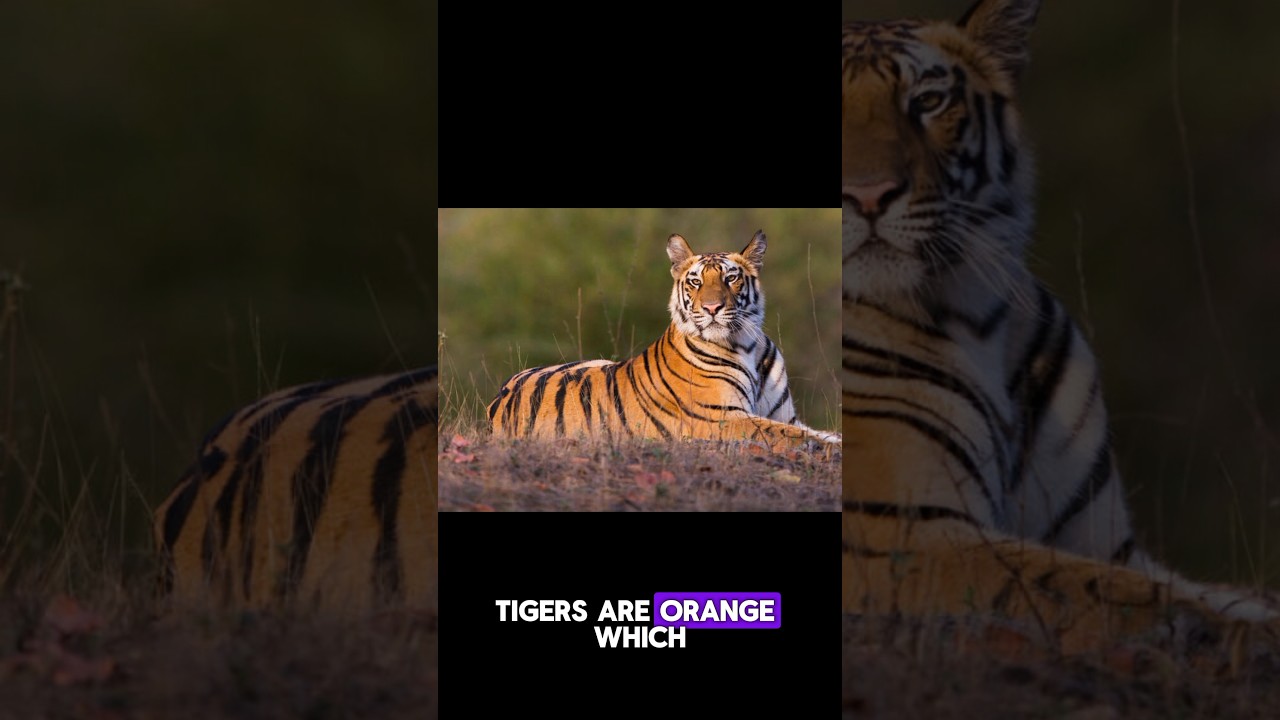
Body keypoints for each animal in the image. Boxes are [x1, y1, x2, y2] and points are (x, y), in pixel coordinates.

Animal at [487, 230, 840, 452]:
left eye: (731, 278)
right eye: (696, 282)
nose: (712, 308)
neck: (746, 345)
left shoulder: (783, 414)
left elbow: (806, 429)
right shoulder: (721, 417)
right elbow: (787, 434)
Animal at [842, 0, 1275, 654]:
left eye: (928, 102)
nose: (867, 195)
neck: (976, 319)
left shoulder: (1104, 538)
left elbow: (1208, 590)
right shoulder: (902, 532)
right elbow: (1094, 590)